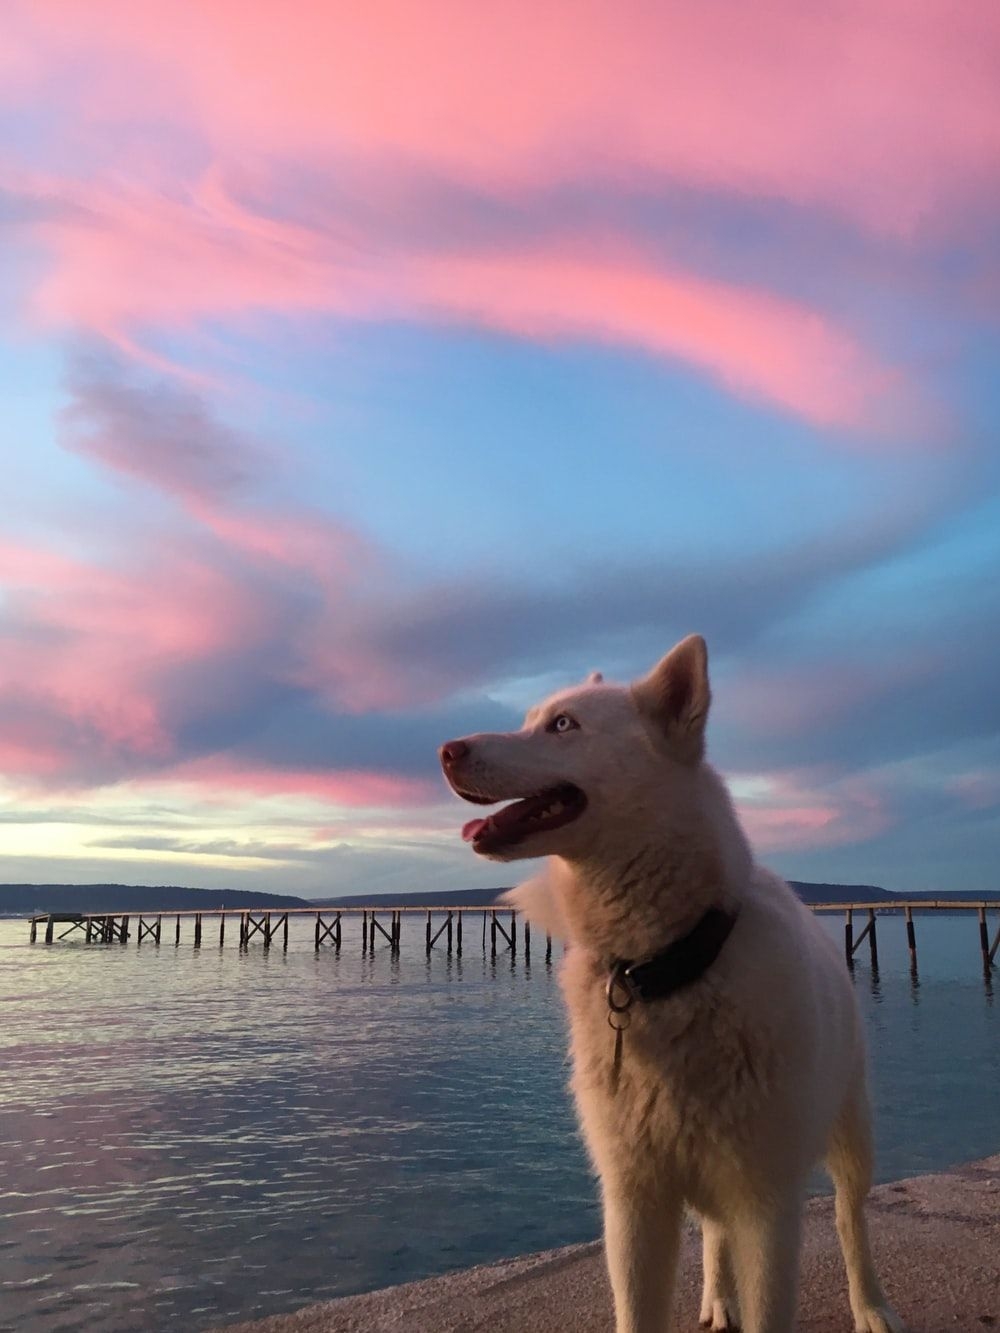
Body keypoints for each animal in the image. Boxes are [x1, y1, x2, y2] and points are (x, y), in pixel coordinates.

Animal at [442, 634, 906, 1333]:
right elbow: (641, 1307)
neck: (661, 967)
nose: (446, 751)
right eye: (529, 719)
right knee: (714, 1233)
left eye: (563, 725)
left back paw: (871, 1305)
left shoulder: (766, 1200)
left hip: (851, 1133)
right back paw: (717, 1300)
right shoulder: (634, 1200)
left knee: (851, 1219)